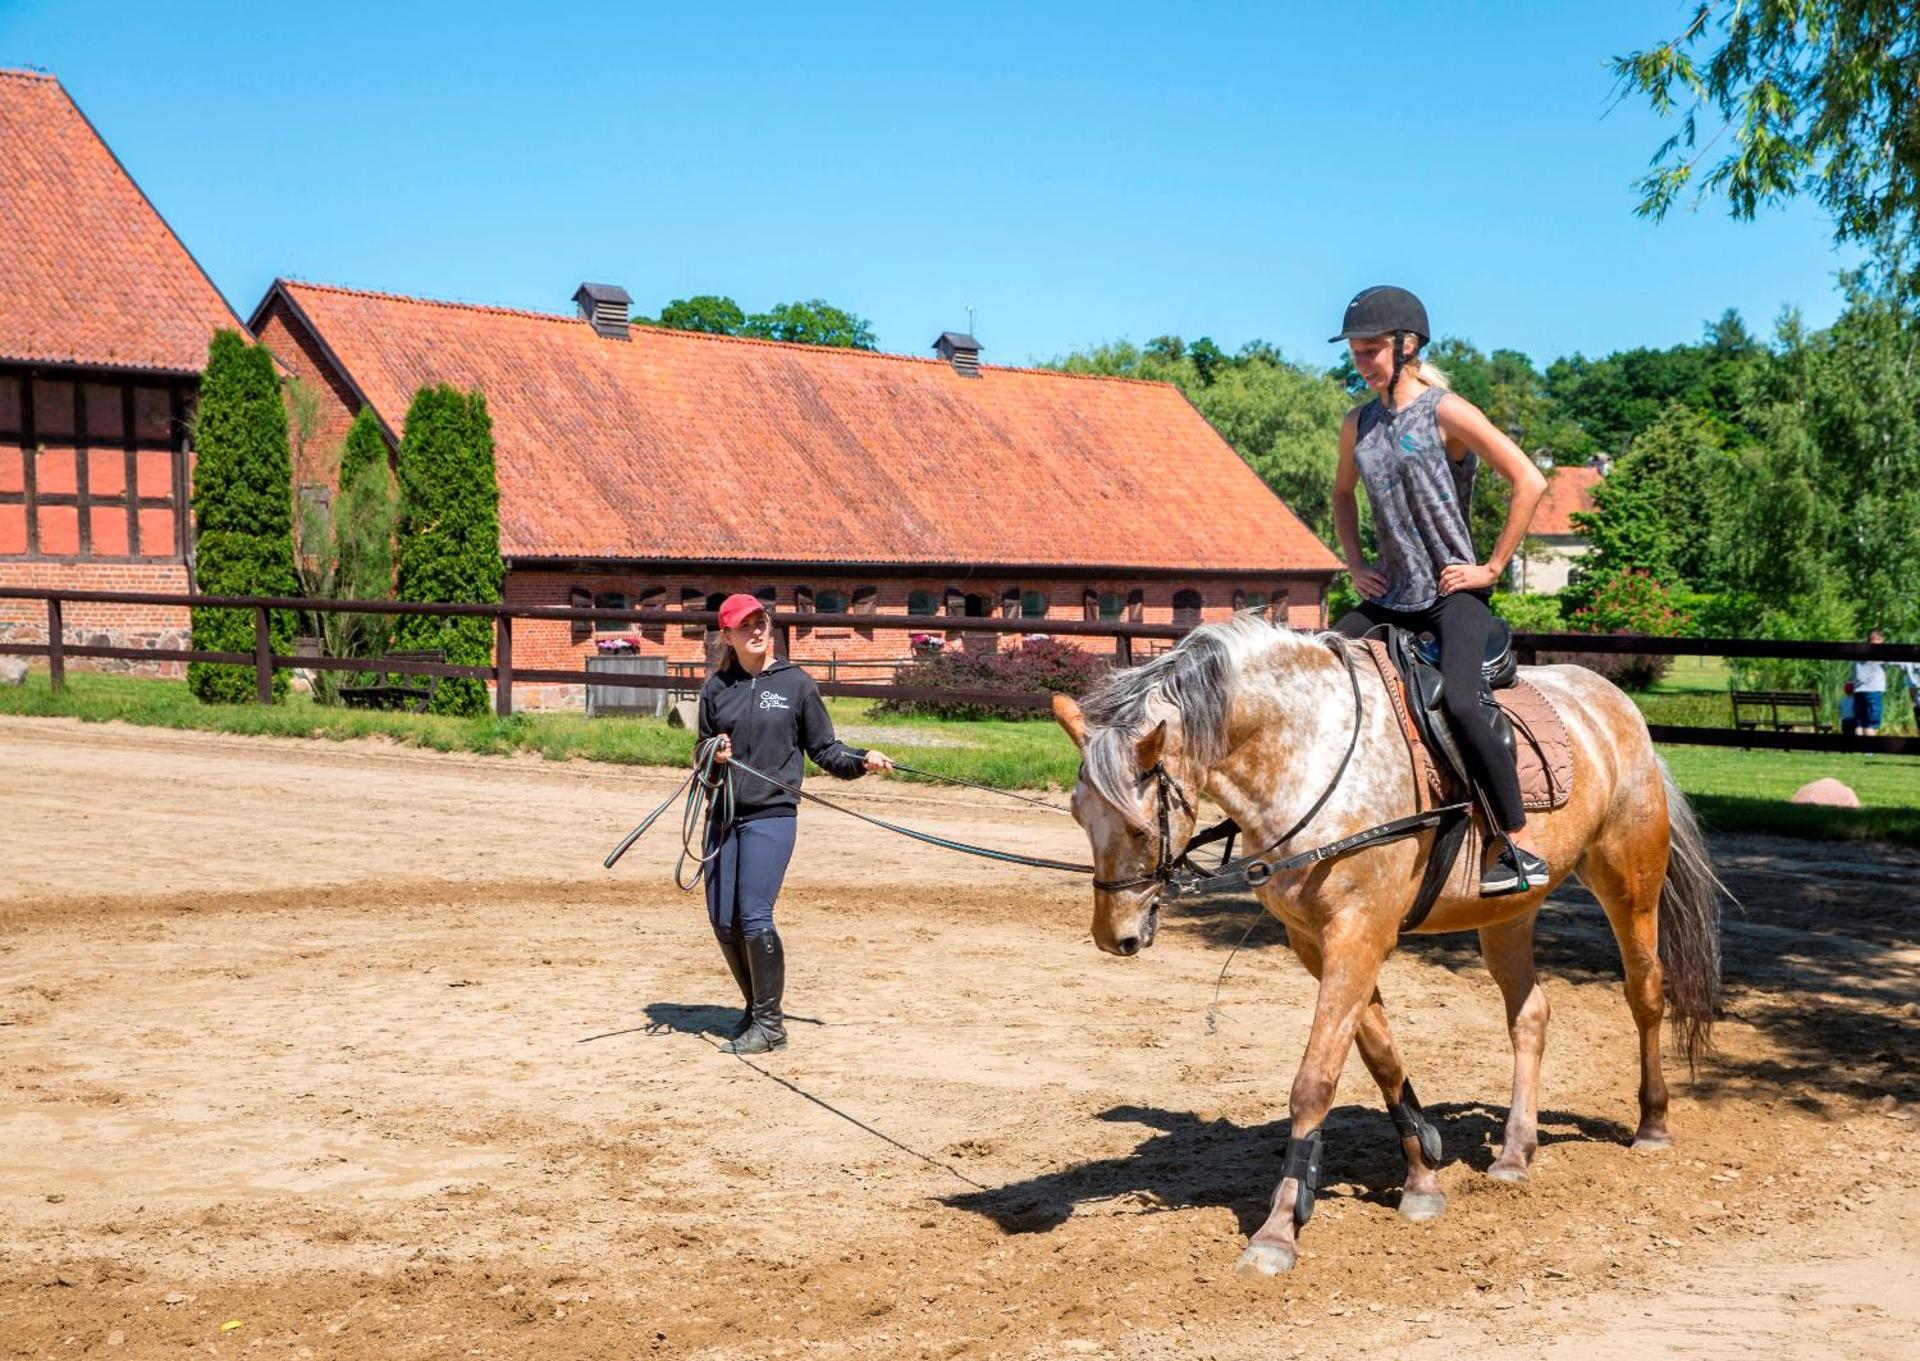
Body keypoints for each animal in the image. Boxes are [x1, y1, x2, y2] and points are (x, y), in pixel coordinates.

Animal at [1050, 615, 1723, 1278]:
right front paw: (1423, 1178)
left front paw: (1278, 1232)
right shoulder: (1316, 941)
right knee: (1530, 1015)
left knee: (1646, 994)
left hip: (1630, 881)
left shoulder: (1358, 931)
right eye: (1078, 815)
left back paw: (1652, 1124)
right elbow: (1381, 1058)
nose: (1115, 936)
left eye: (1140, 827)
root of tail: (1615, 705)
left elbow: (1315, 1080)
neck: (1309, 753)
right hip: (1507, 915)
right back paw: (1514, 1153)